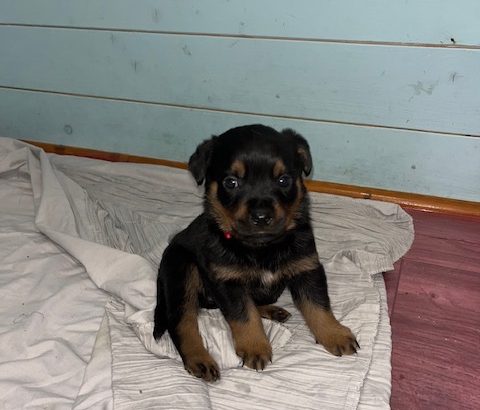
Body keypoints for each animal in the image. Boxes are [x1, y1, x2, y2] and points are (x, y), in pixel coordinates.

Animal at [154, 124, 360, 382]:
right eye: (231, 182)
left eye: (283, 180)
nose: (261, 216)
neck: (262, 247)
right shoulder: (227, 282)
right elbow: (243, 315)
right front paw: (255, 347)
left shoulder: (306, 267)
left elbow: (318, 305)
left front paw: (335, 334)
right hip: (182, 271)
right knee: (182, 322)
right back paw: (199, 359)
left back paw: (273, 310)